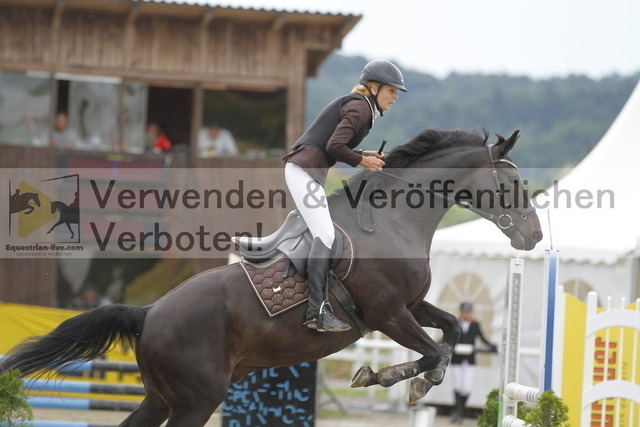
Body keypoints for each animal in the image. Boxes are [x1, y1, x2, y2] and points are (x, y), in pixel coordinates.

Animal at [0, 129, 542, 427]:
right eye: (514, 182)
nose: (534, 236)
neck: (394, 220)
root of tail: (149, 312)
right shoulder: (388, 313)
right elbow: (430, 350)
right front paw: (383, 377)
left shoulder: (408, 307)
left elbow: (449, 332)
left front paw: (419, 385)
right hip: (196, 401)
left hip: (161, 398)